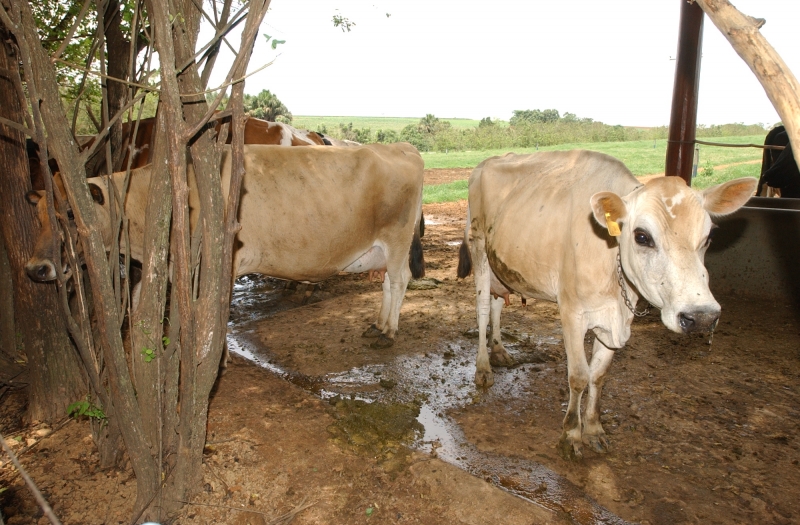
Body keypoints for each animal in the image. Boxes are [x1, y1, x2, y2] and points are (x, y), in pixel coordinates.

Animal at [25, 143, 425, 347]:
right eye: (39, 216)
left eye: (71, 214)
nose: (35, 269)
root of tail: (401, 147)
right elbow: (140, 298)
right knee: (388, 282)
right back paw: (377, 323)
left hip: (397, 237)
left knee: (399, 279)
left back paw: (388, 331)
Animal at [457, 149, 757, 459]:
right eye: (642, 236)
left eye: (709, 237)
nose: (702, 317)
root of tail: (486, 162)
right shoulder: (572, 314)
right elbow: (578, 376)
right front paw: (571, 434)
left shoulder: (615, 320)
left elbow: (598, 376)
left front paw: (593, 429)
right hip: (479, 248)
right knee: (482, 309)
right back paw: (483, 368)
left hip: (501, 266)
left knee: (497, 304)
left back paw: (499, 350)